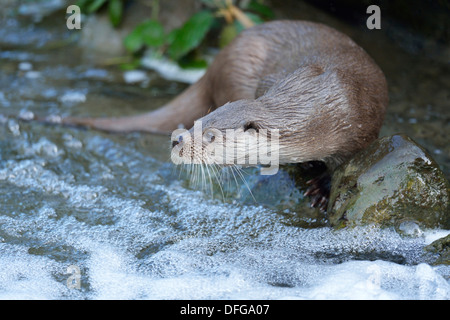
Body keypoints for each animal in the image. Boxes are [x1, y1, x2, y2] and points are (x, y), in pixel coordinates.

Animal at [42, 20, 388, 210]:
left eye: (210, 136)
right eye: (198, 122)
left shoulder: (361, 123)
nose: (178, 141)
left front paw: (322, 188)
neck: (318, 109)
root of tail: (217, 61)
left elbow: (345, 163)